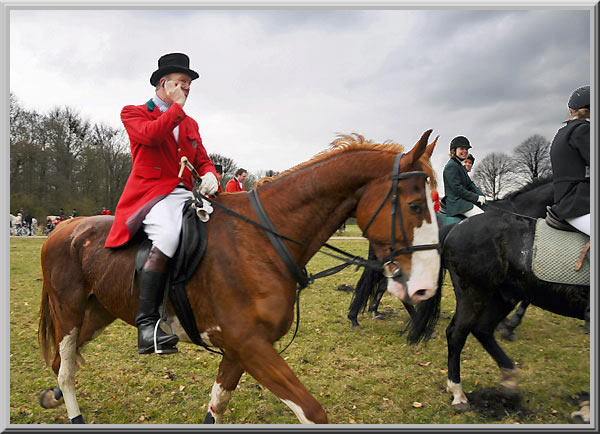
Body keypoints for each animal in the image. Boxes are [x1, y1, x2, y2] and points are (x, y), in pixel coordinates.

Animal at [38, 130, 440, 424]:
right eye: (415, 205)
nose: (426, 287)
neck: (264, 238)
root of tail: (66, 228)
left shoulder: (238, 351)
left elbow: (216, 408)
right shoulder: (250, 345)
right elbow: (312, 413)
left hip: (99, 312)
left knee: (61, 364)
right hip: (69, 312)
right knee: (66, 369)